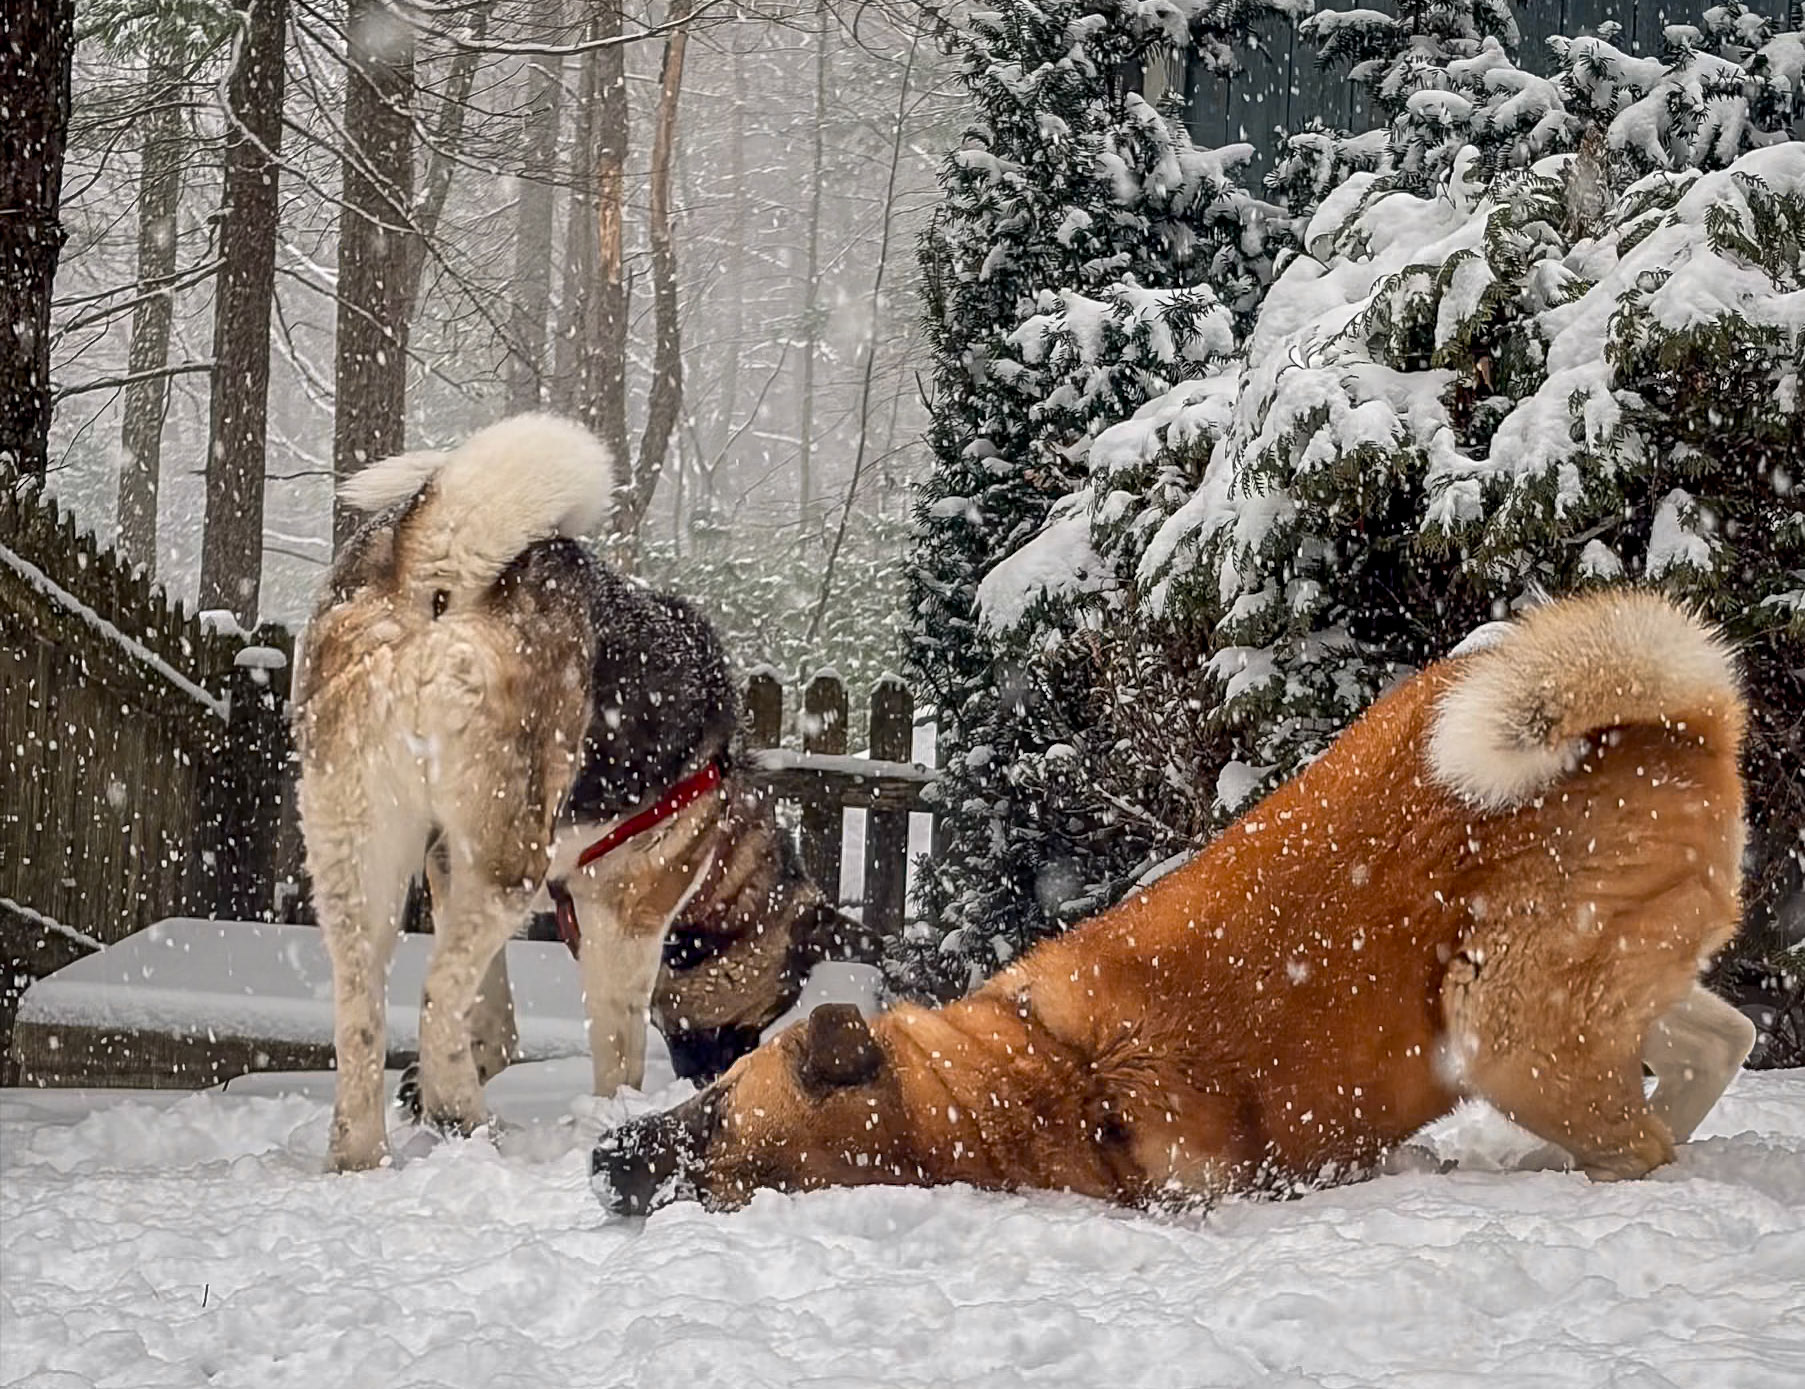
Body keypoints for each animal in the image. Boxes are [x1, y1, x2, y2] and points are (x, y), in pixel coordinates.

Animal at [295, 414, 851, 1172]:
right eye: (763, 1013)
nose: (720, 1077)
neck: (724, 846)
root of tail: (433, 556)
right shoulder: (628, 921)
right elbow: (615, 1046)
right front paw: (618, 1113)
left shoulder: (448, 861)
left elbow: (494, 1015)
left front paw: (441, 1077)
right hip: (511, 863)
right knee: (436, 992)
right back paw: (459, 1111)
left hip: (363, 845)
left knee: (362, 1002)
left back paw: (365, 1147)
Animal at [593, 589, 1758, 1214]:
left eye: (715, 1133)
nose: (605, 1169)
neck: (1059, 1078)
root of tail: (1682, 721)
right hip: (1577, 976)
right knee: (1722, 1039)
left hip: (1502, 1026)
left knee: (1641, 1134)